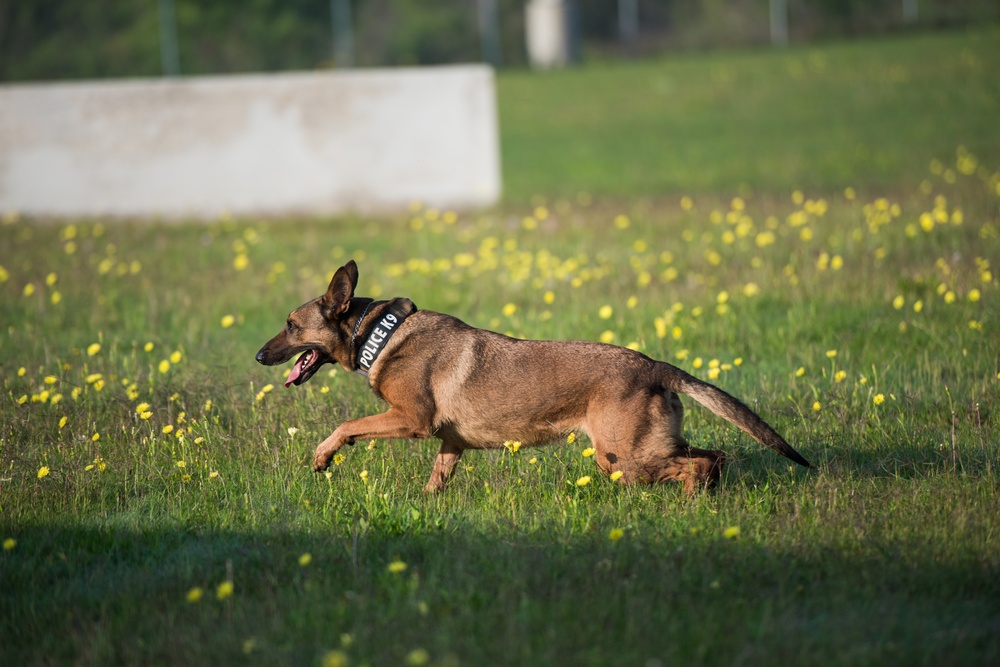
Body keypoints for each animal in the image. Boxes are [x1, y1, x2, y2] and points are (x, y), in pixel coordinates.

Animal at [254, 260, 808, 496]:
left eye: (290, 325)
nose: (259, 355)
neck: (378, 333)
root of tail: (652, 364)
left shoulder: (410, 419)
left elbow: (347, 427)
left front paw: (323, 456)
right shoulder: (450, 442)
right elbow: (437, 479)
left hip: (622, 457)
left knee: (698, 465)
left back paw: (690, 504)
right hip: (645, 446)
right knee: (713, 458)